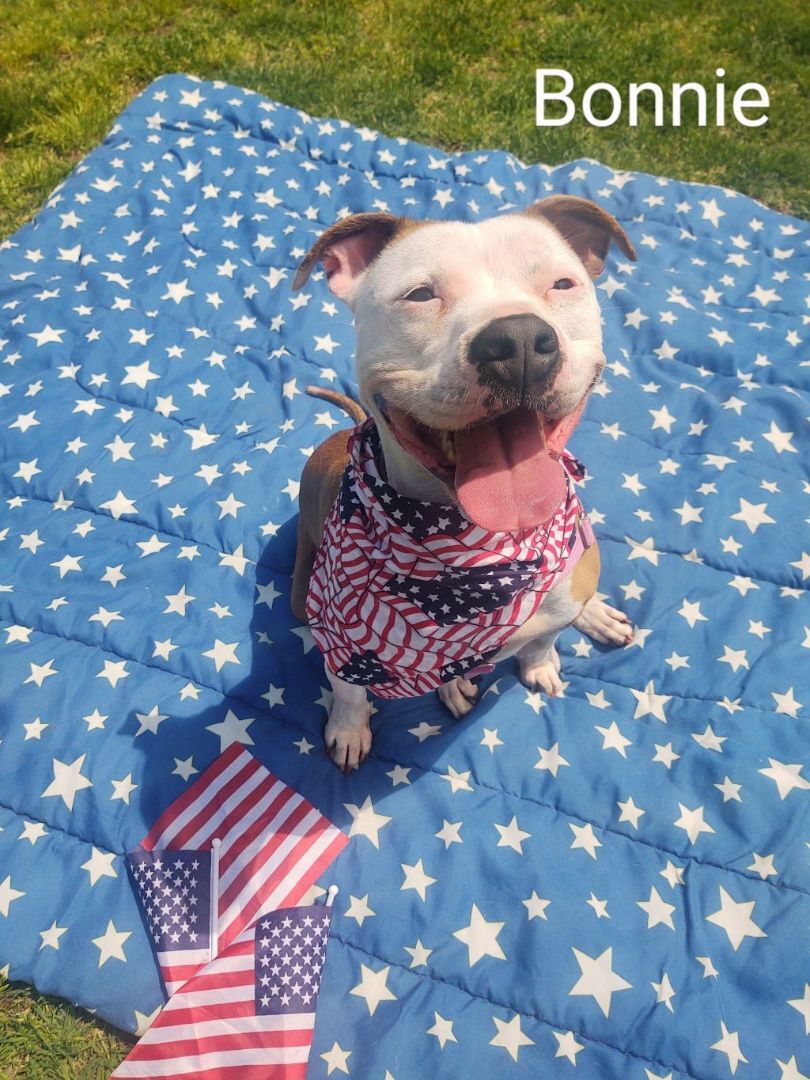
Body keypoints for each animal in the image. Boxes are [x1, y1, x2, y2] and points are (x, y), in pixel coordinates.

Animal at [289, 194, 639, 768]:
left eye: (562, 284)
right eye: (420, 294)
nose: (518, 340)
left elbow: (544, 640)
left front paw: (540, 662)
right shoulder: (342, 644)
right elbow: (349, 691)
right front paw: (349, 729)